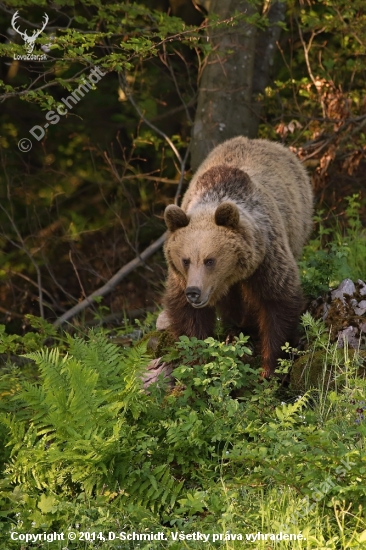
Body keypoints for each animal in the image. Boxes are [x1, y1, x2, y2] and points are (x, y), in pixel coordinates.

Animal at [159, 137, 314, 380]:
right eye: (185, 260)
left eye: (210, 260)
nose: (194, 292)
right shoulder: (181, 279)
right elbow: (188, 318)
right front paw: (198, 361)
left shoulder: (266, 258)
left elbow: (278, 302)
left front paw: (271, 369)